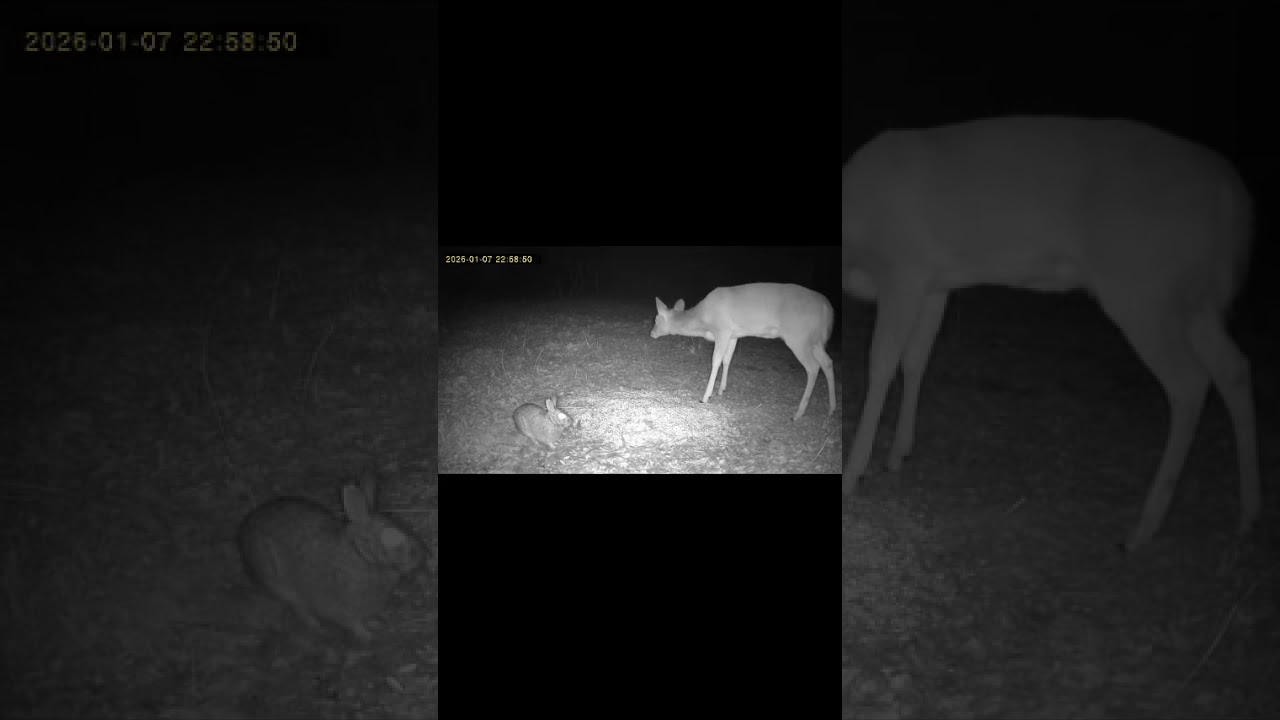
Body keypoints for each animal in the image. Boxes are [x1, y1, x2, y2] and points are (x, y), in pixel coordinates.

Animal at [237, 470, 425, 643]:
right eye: (390, 538)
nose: (419, 555)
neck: (361, 556)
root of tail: (245, 531)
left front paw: (375, 624)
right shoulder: (343, 605)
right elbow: (353, 622)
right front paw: (366, 635)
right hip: (281, 585)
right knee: (299, 607)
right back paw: (316, 626)